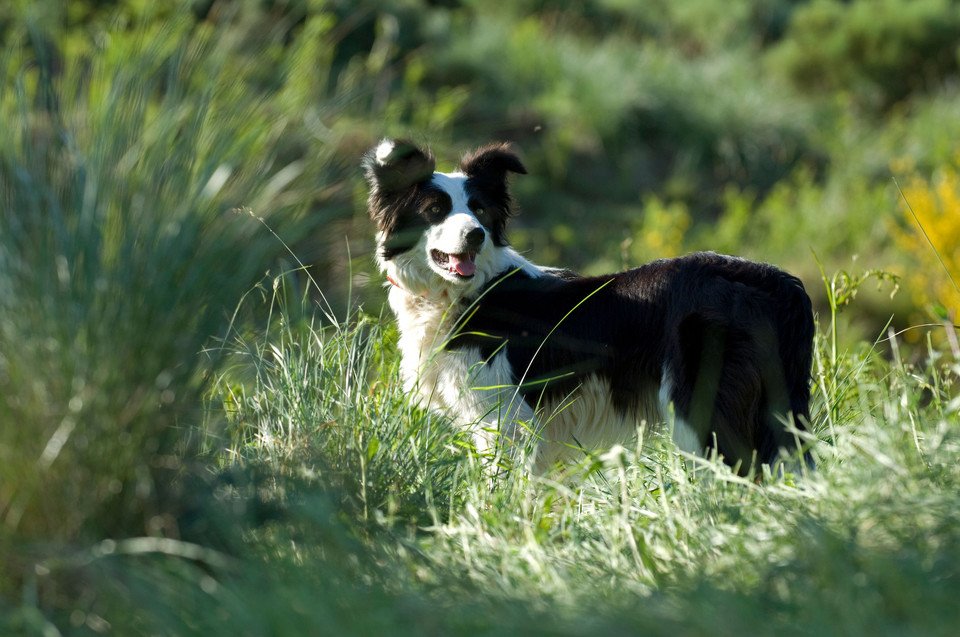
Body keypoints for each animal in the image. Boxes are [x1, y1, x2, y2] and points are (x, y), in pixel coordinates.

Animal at [364, 138, 812, 472]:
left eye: (479, 210)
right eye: (434, 210)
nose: (475, 235)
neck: (461, 293)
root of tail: (776, 280)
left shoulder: (504, 421)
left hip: (701, 406)